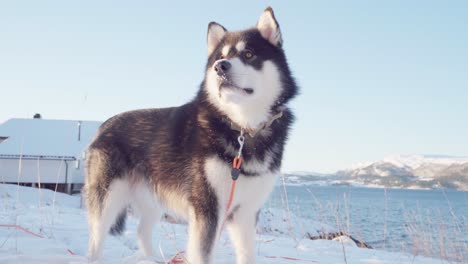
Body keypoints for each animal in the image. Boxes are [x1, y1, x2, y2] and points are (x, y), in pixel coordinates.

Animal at [83, 6, 296, 264]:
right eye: (219, 57)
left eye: (248, 54)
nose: (220, 67)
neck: (242, 128)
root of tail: (102, 126)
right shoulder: (208, 208)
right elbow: (202, 254)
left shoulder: (245, 212)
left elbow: (247, 255)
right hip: (107, 198)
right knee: (96, 237)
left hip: (152, 199)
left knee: (142, 230)